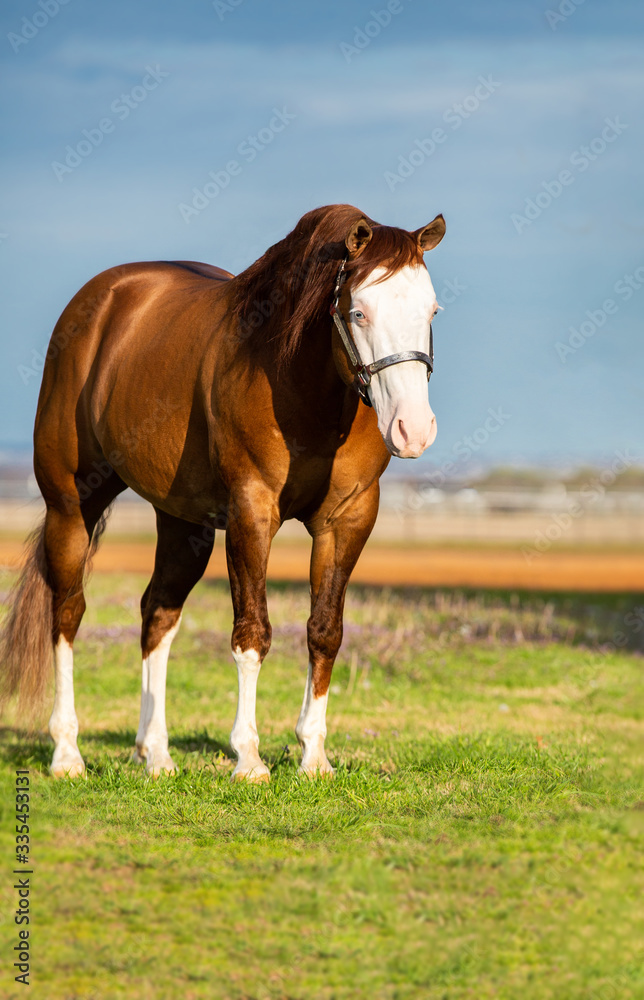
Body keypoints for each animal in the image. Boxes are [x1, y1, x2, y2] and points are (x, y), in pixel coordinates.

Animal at [0, 204, 445, 781]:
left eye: (431, 310)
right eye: (359, 313)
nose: (413, 429)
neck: (304, 386)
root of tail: (100, 303)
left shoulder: (348, 519)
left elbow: (325, 629)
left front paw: (313, 756)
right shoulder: (251, 512)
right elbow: (252, 632)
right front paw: (249, 758)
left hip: (182, 523)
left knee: (158, 613)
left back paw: (156, 753)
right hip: (72, 506)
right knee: (67, 613)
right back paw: (67, 752)